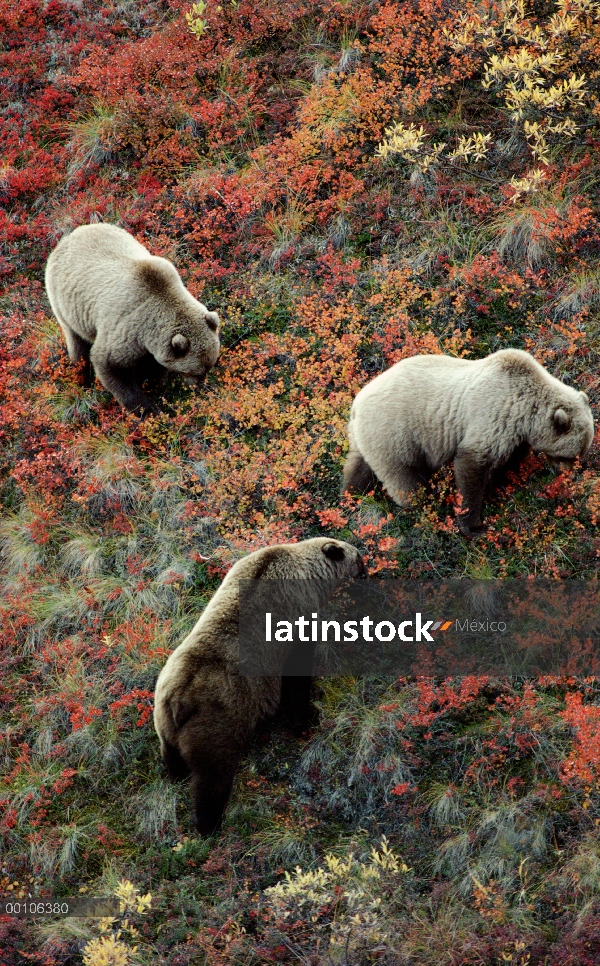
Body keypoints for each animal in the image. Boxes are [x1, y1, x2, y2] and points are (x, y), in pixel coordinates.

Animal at [44, 223, 221, 416]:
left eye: (209, 365)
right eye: (194, 371)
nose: (199, 387)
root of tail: (67, 238)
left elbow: (152, 365)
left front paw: (152, 383)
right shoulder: (127, 329)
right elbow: (109, 365)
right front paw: (148, 409)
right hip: (65, 305)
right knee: (77, 344)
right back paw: (81, 377)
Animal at [154, 540, 366, 836]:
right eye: (358, 558)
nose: (366, 570)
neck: (309, 573)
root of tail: (178, 700)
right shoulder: (294, 620)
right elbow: (296, 680)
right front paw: (305, 721)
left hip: (163, 719)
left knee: (172, 756)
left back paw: (177, 775)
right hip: (217, 720)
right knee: (213, 775)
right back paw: (209, 823)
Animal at [342, 352, 596, 540]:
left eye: (580, 453)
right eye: (569, 455)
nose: (568, 475)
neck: (525, 411)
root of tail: (356, 403)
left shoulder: (514, 433)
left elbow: (507, 460)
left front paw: (500, 485)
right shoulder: (493, 414)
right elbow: (473, 463)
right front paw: (472, 525)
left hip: (366, 437)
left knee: (358, 466)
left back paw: (351, 495)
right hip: (396, 434)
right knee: (404, 478)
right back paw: (422, 506)